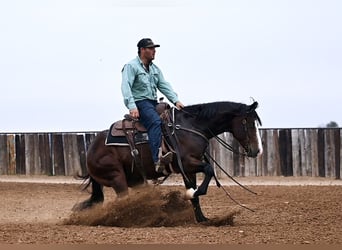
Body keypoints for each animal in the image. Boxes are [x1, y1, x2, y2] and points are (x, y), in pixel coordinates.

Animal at [75, 100, 262, 222]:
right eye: (249, 123)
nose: (257, 151)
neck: (192, 127)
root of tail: (91, 149)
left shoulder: (189, 170)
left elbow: (196, 192)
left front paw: (202, 219)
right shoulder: (187, 164)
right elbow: (209, 170)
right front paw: (191, 194)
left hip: (134, 179)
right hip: (116, 177)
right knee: (123, 201)